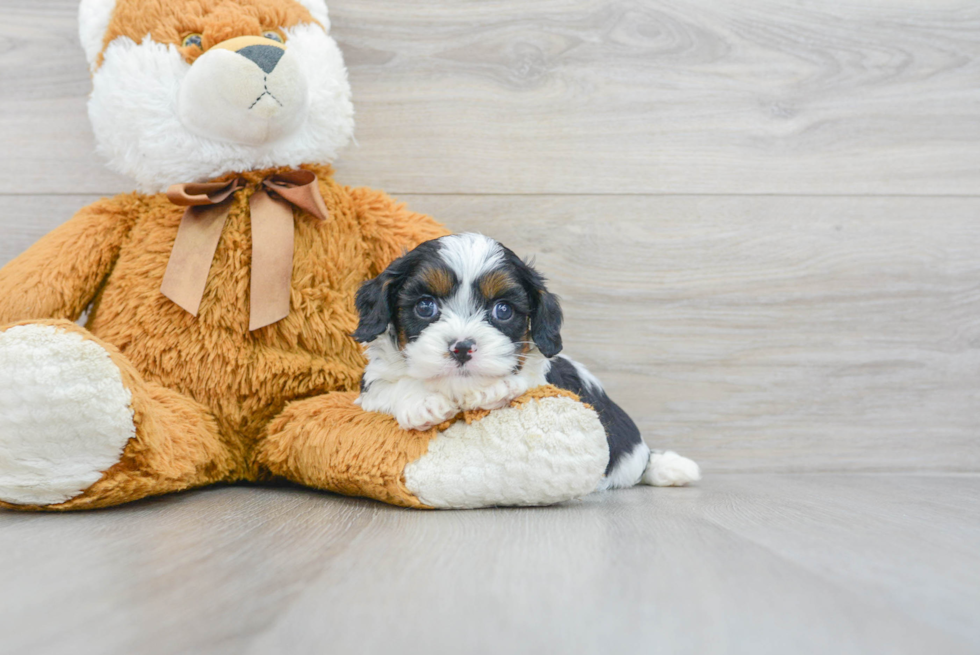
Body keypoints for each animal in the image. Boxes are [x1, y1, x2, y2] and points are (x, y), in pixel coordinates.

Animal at [350, 233, 696, 490]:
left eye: (503, 310)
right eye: (425, 306)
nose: (462, 348)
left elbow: (525, 379)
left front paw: (494, 388)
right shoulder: (371, 386)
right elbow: (391, 386)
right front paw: (423, 403)